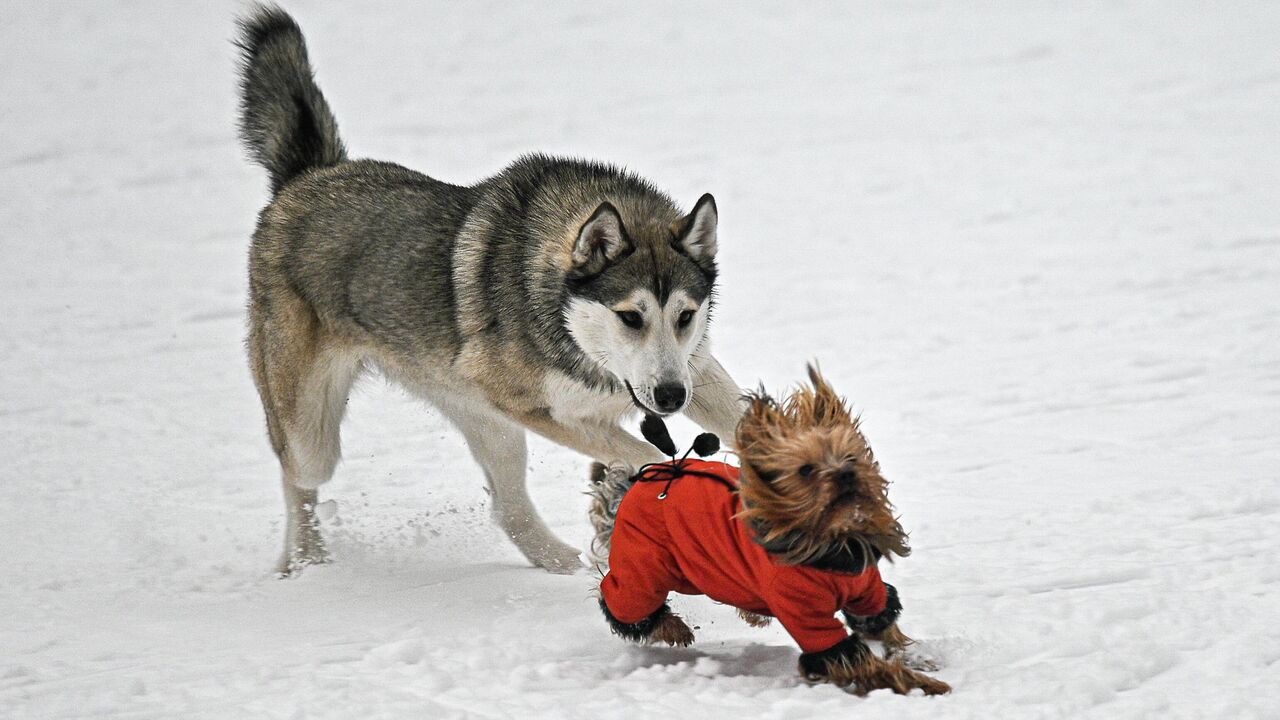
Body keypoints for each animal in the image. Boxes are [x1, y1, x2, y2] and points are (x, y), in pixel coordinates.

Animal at [235, 5, 747, 573]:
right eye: (631, 317)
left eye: (685, 316)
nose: (671, 397)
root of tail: (306, 176)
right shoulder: (542, 410)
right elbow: (647, 456)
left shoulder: (693, 369)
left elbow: (743, 422)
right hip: (315, 437)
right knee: (298, 481)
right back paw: (304, 562)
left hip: (487, 422)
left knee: (507, 509)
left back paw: (564, 564)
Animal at [588, 366, 952, 691]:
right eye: (806, 470)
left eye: (851, 458)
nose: (847, 474)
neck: (833, 541)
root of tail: (634, 484)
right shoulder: (806, 613)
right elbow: (852, 660)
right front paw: (927, 686)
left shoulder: (866, 591)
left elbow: (883, 624)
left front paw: (914, 655)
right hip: (643, 565)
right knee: (623, 600)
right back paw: (672, 628)